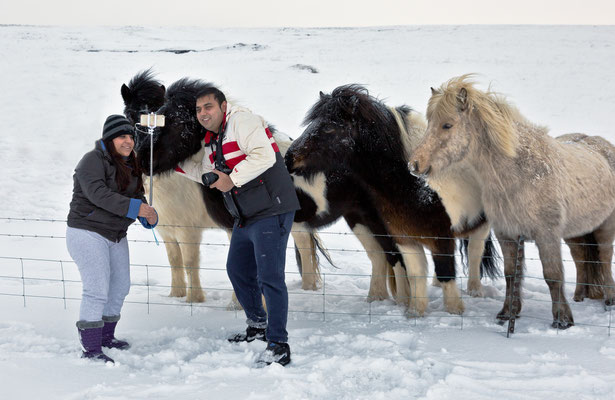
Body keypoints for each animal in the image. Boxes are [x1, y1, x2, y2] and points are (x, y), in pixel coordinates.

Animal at [122, 70, 330, 304]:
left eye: (174, 122)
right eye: (130, 114)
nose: (143, 159)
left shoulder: (188, 230)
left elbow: (190, 262)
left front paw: (196, 300)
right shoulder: (167, 229)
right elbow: (174, 260)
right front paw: (175, 295)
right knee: (304, 245)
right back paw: (308, 289)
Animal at [286, 84, 500, 316]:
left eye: (329, 128)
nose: (289, 158)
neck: (419, 187)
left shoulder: (440, 238)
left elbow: (446, 272)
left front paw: (454, 311)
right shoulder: (405, 237)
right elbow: (416, 274)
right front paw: (415, 313)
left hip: (480, 226)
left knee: (474, 253)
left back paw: (475, 291)